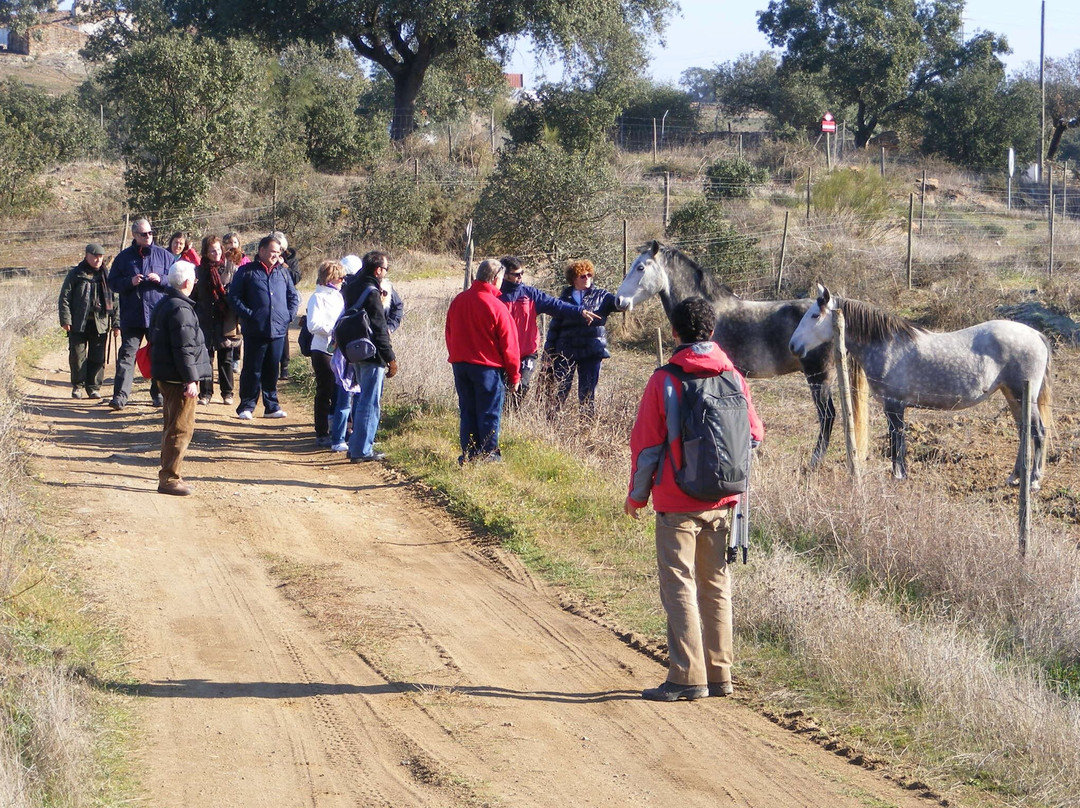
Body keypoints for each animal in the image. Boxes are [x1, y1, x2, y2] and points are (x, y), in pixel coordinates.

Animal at [617, 239, 833, 466]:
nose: (619, 300)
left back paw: (814, 462)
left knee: (827, 416)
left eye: (641, 267)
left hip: (818, 378)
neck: (709, 313)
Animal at [790, 283, 1049, 486]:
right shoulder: (894, 407)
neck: (888, 346)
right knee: (1023, 431)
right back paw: (1015, 477)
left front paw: (898, 475)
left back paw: (1034, 480)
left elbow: (897, 440)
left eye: (814, 315)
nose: (793, 346)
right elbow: (897, 440)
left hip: (1022, 395)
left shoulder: (894, 405)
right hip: (1012, 395)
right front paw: (900, 474)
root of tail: (1036, 335)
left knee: (1038, 431)